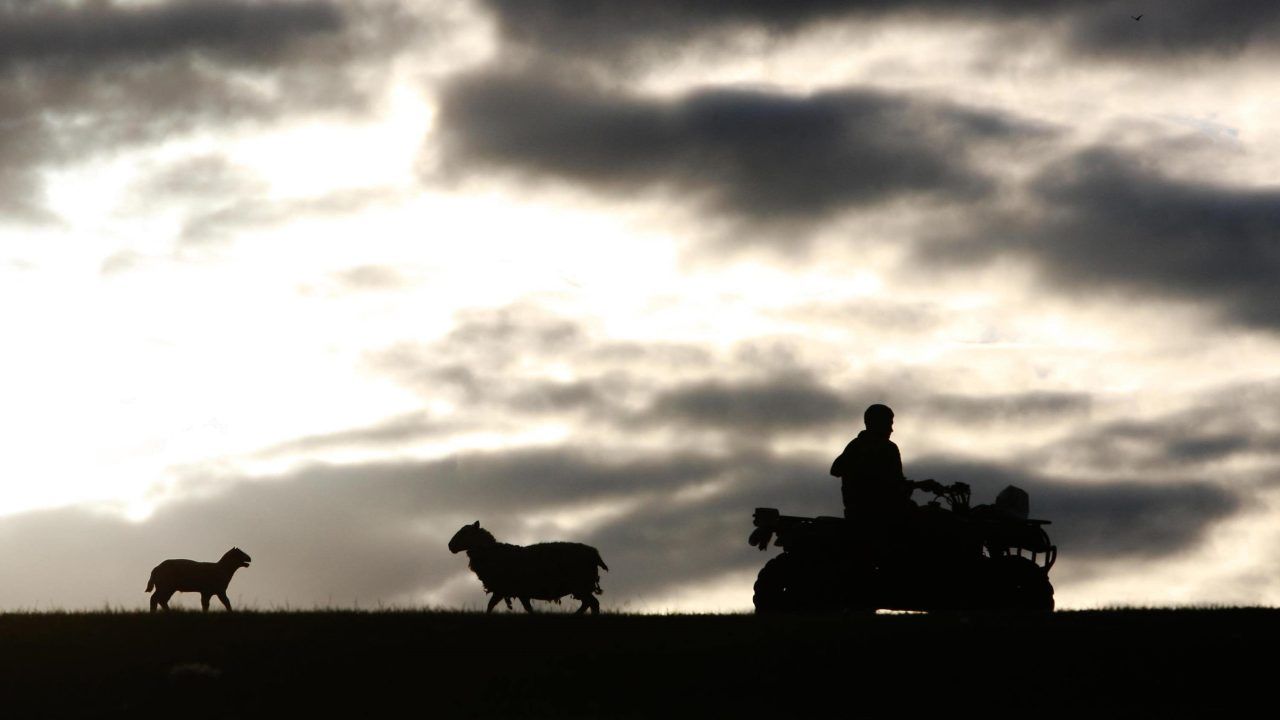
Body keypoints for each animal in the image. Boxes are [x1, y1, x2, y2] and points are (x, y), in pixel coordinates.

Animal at [450, 517, 609, 614]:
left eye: (465, 532)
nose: (450, 546)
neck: (493, 553)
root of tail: (594, 552)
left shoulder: (505, 589)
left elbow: (492, 606)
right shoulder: (512, 591)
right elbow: (522, 608)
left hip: (580, 584)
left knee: (593, 604)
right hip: (581, 586)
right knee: (589, 604)